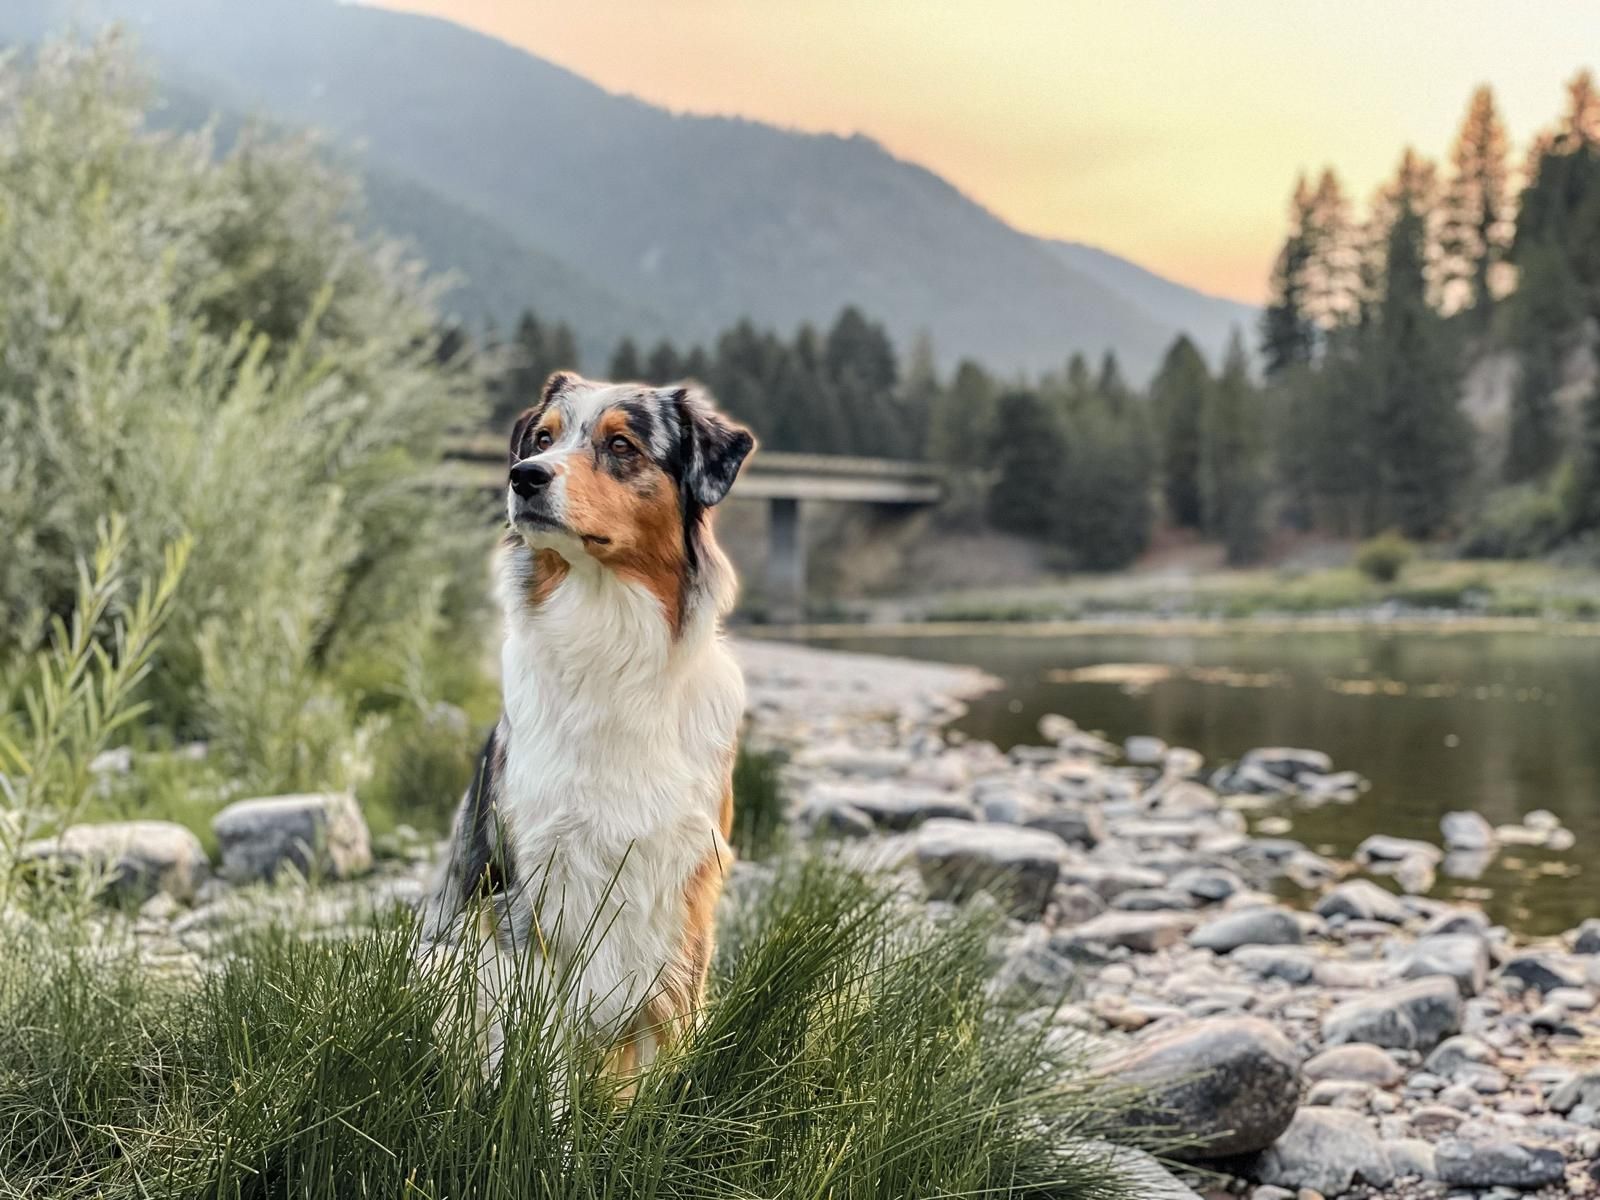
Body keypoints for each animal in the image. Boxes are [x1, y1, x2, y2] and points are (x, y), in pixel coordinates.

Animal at [419, 374, 755, 1081]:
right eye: (542, 439)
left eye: (621, 445)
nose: (523, 476)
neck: (607, 638)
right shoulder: (533, 891)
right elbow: (539, 1051)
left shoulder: (685, 890)